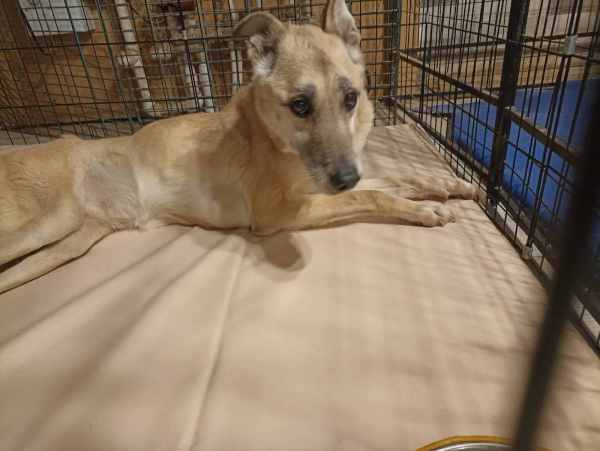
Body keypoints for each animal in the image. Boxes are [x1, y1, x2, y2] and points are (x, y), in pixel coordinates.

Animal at [0, 0, 477, 294]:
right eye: (299, 105)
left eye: (351, 98)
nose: (345, 177)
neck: (274, 136)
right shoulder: (278, 213)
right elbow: (374, 196)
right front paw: (423, 210)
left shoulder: (328, 188)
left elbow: (396, 179)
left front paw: (446, 184)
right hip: (49, 221)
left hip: (67, 243)